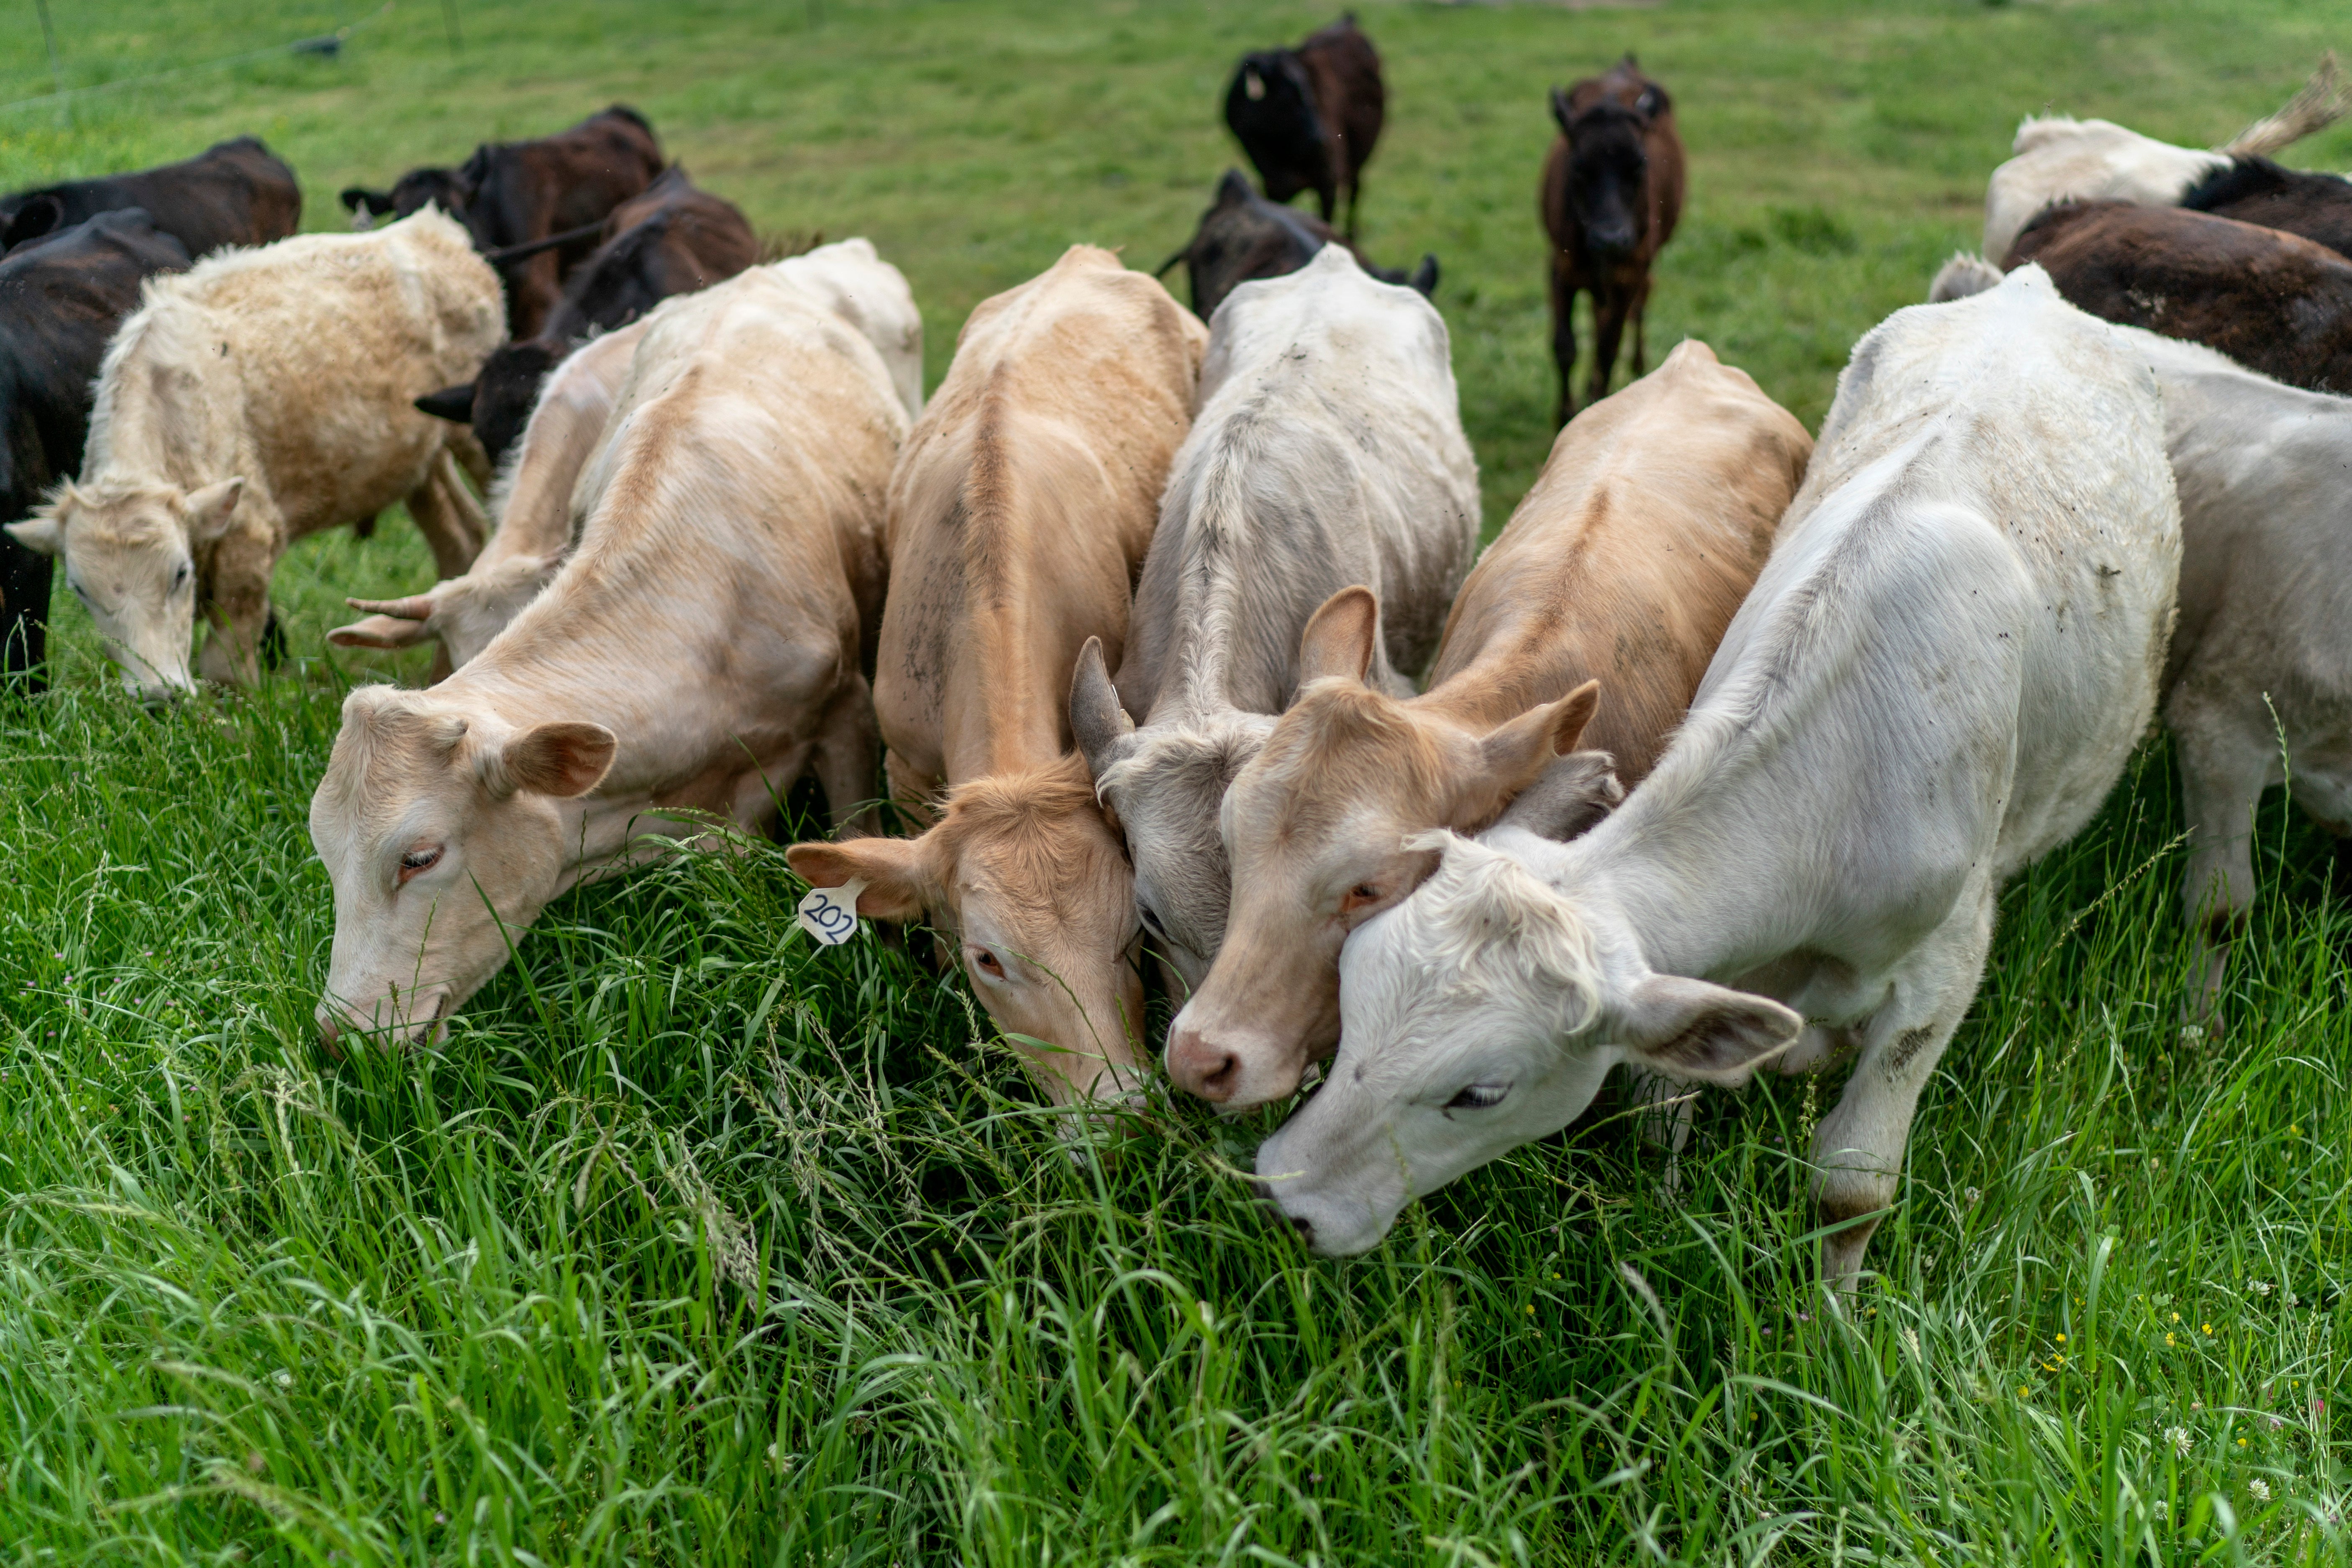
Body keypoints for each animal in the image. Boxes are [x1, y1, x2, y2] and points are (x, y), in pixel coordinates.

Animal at [1225, 14, 1384, 238]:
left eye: (1310, 91)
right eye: (1286, 96)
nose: (1320, 138)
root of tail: (1347, 22)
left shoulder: (1328, 179)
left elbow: (1326, 220)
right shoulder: (1272, 185)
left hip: (1358, 157)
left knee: (1354, 191)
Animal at [1252, 268, 2180, 1284]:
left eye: (1480, 1091)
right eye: (1352, 997)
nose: (1286, 1198)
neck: (1832, 805)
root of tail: (2023, 287)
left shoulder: (1941, 972)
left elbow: (1852, 1188)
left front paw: (1833, 1319)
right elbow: (1666, 1117)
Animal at [1541, 56, 1685, 425]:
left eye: (1639, 165)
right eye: (1578, 166)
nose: (1611, 239)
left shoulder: (1629, 274)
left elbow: (1608, 348)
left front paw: (1595, 404)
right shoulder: (1560, 268)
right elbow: (1565, 346)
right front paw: (1565, 414)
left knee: (1638, 310)